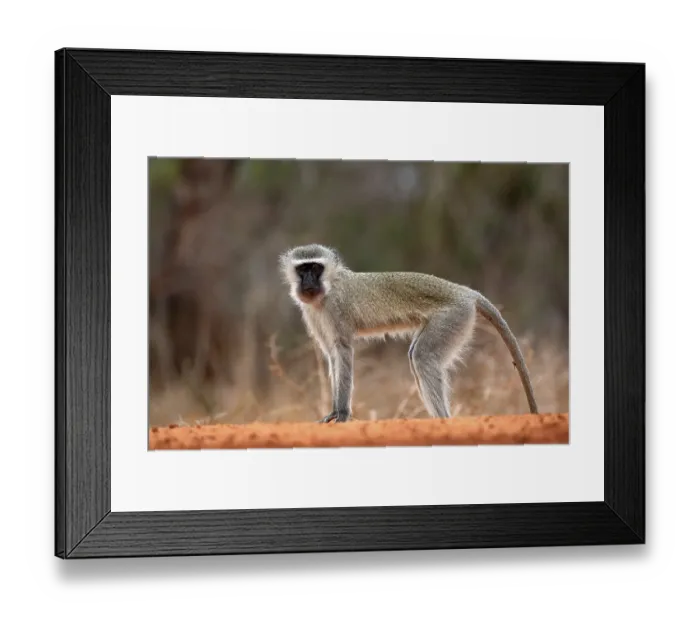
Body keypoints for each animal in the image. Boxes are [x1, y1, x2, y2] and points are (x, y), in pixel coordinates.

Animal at [279, 243, 539, 423]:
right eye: (303, 269)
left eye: (315, 267)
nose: (309, 281)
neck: (328, 289)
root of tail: (466, 292)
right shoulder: (313, 314)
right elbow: (332, 355)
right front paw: (334, 410)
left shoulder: (337, 307)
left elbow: (342, 351)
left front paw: (341, 413)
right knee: (417, 355)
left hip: (453, 316)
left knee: (422, 356)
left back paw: (443, 422)